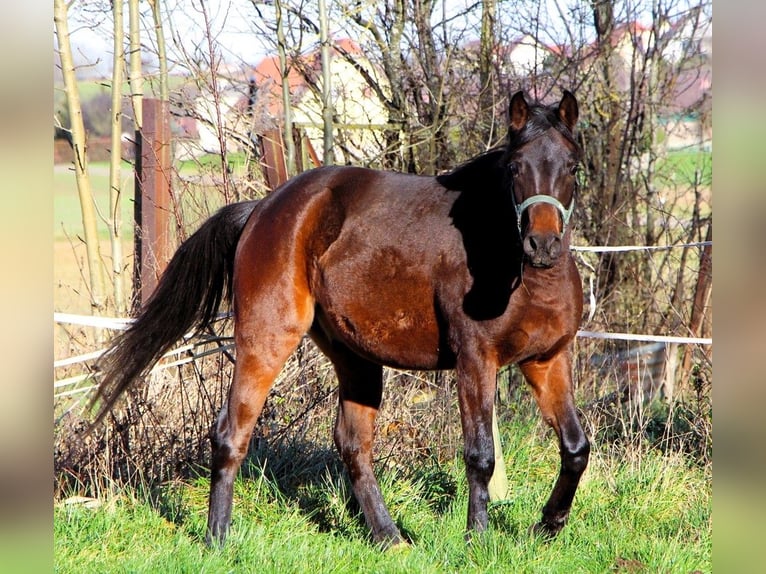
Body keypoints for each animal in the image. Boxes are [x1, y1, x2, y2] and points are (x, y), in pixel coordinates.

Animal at [91, 90, 592, 548]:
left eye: (572, 166)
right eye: (515, 167)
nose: (542, 244)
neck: (515, 271)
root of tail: (264, 208)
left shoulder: (547, 360)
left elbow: (575, 447)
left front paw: (548, 525)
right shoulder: (475, 362)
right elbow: (481, 455)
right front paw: (478, 539)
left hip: (355, 357)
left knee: (352, 444)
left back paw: (389, 538)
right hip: (267, 337)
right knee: (232, 431)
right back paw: (218, 538)